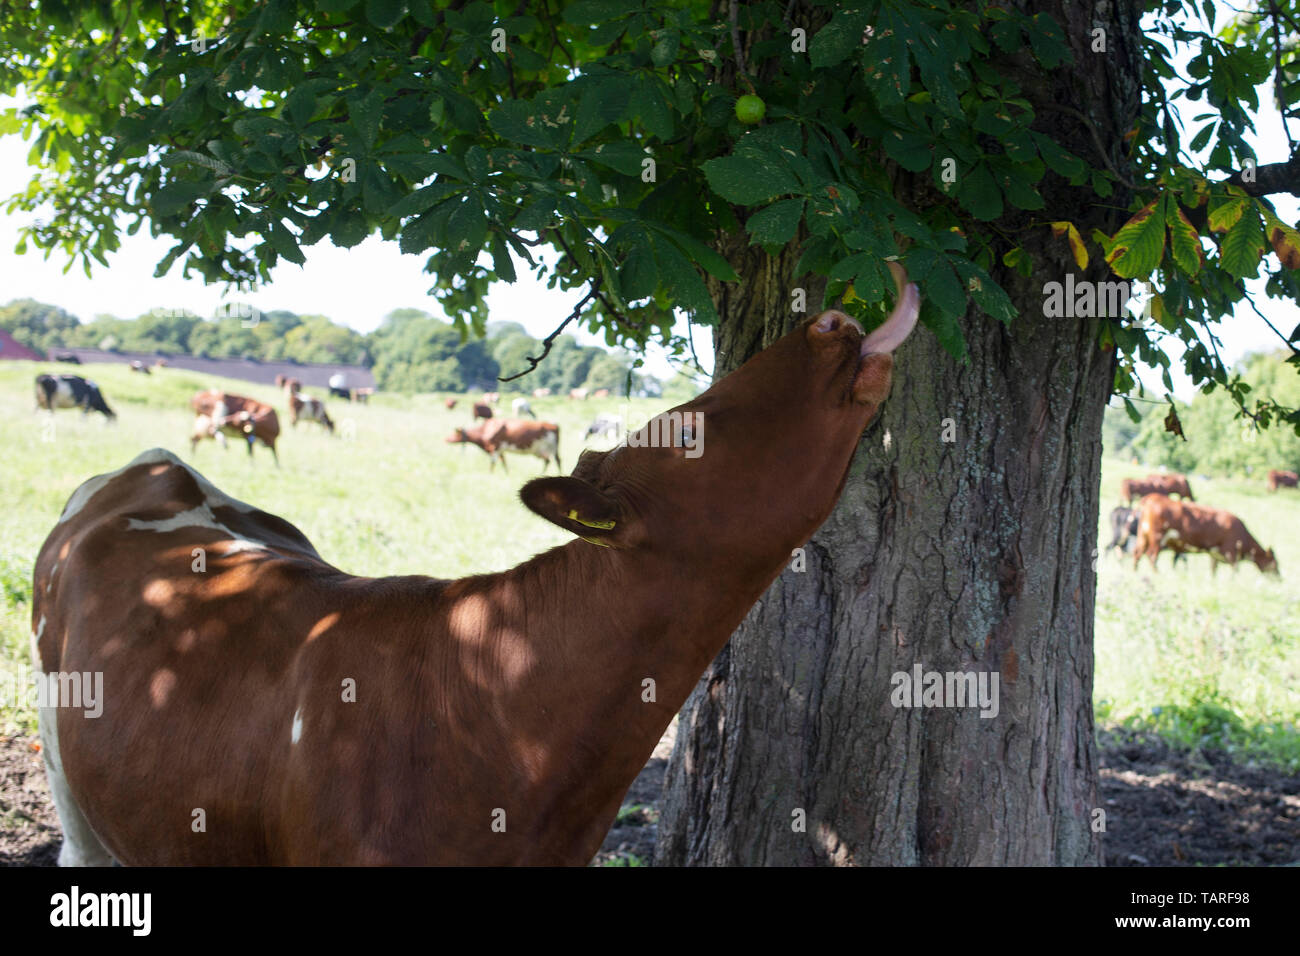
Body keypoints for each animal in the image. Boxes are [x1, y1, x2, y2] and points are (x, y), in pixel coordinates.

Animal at [1132, 494, 1277, 574]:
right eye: (1275, 563)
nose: (1279, 578)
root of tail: (1152, 497)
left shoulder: (1215, 554)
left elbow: (1213, 571)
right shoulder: (1231, 553)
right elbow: (1234, 572)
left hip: (1143, 536)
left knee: (1138, 553)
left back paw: (1135, 572)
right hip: (1157, 537)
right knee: (1152, 556)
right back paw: (1157, 574)